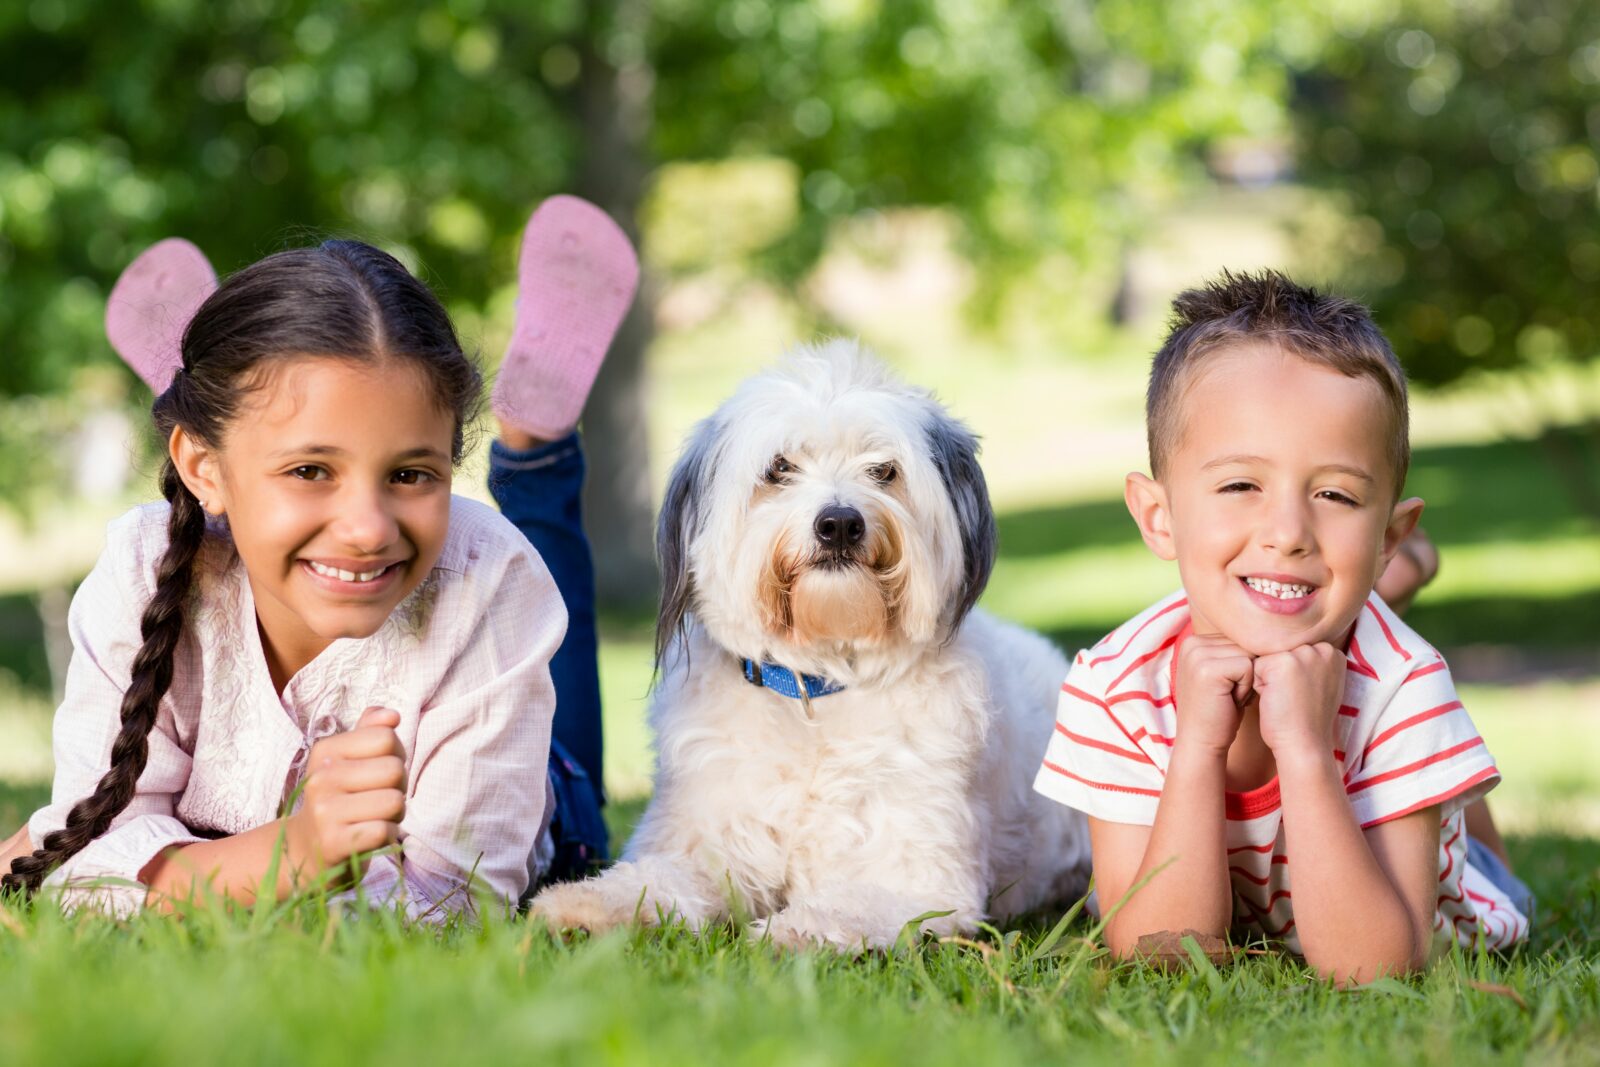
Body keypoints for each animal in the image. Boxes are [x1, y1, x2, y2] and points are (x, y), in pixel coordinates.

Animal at [531, 342, 1094, 953]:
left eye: (884, 470)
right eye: (779, 468)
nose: (840, 524)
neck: (818, 684)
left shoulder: (917, 881)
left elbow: (846, 906)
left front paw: (792, 931)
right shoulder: (701, 843)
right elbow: (652, 881)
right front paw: (584, 904)